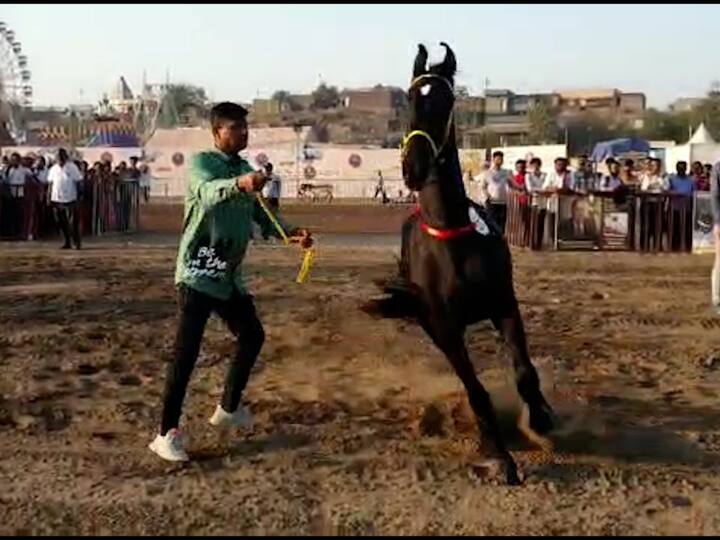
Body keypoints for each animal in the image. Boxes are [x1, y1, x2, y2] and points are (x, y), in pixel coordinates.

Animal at [366, 44, 556, 488]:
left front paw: (541, 419)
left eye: (445, 100)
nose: (414, 168)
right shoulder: (444, 327)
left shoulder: (504, 305)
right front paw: (500, 456)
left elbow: (525, 372)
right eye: (410, 99)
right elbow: (476, 391)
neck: (451, 233)